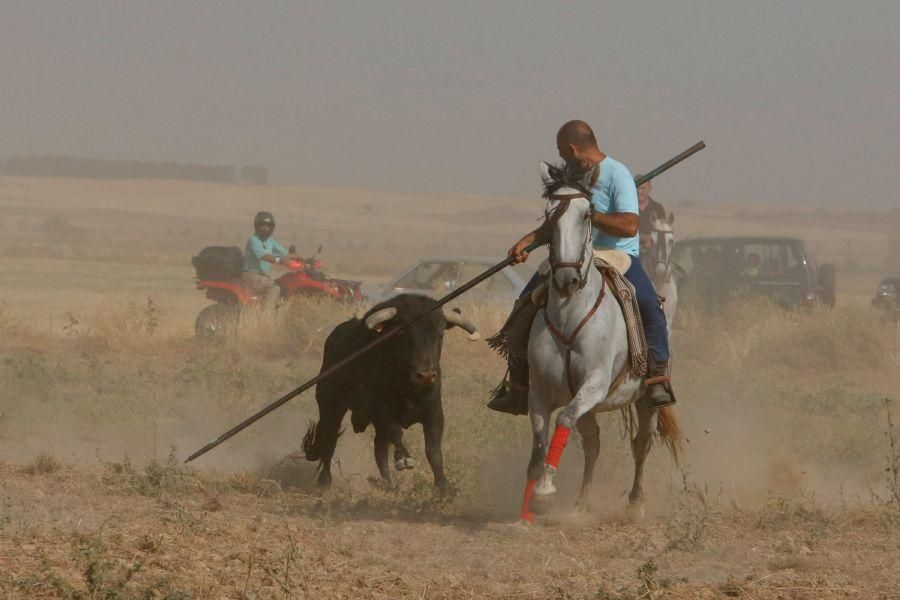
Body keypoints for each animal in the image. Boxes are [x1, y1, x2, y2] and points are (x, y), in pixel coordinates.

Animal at [300, 292, 478, 490]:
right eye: (402, 332)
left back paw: (388, 484)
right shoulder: (376, 408)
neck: (405, 385)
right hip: (331, 405)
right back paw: (325, 480)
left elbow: (433, 451)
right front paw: (404, 459)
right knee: (329, 439)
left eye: (440, 334)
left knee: (379, 448)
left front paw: (443, 486)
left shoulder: (434, 411)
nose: (424, 375)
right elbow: (395, 431)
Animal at [520, 162, 684, 524]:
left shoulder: (594, 383)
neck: (570, 315)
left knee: (641, 442)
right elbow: (539, 438)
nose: (567, 279)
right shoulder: (540, 391)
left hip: (646, 400)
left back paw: (635, 502)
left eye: (587, 214)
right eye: (549, 214)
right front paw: (530, 503)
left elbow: (562, 421)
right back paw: (582, 502)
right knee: (592, 443)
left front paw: (544, 492)